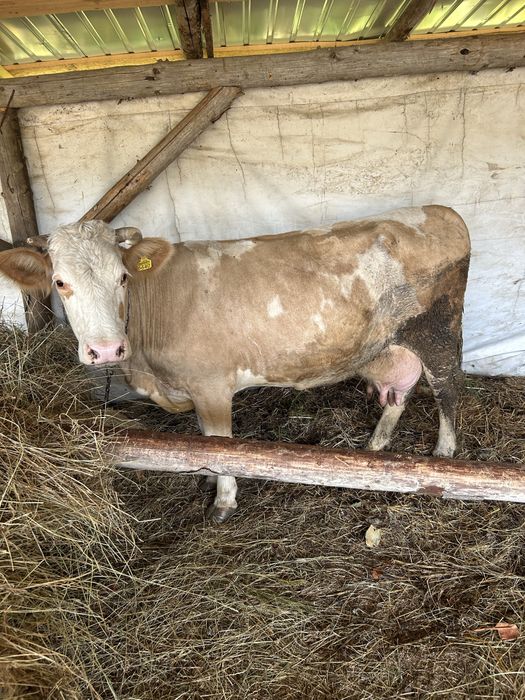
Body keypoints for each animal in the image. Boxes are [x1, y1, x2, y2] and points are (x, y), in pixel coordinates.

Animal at [0, 205, 470, 523]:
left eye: (122, 277)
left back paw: (444, 456)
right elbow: (203, 438)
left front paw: (223, 500)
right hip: (391, 344)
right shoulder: (194, 385)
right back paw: (376, 445)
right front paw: (205, 475)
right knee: (399, 392)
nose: (107, 350)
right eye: (61, 282)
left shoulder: (211, 385)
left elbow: (220, 442)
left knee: (446, 389)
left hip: (438, 332)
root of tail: (441, 211)